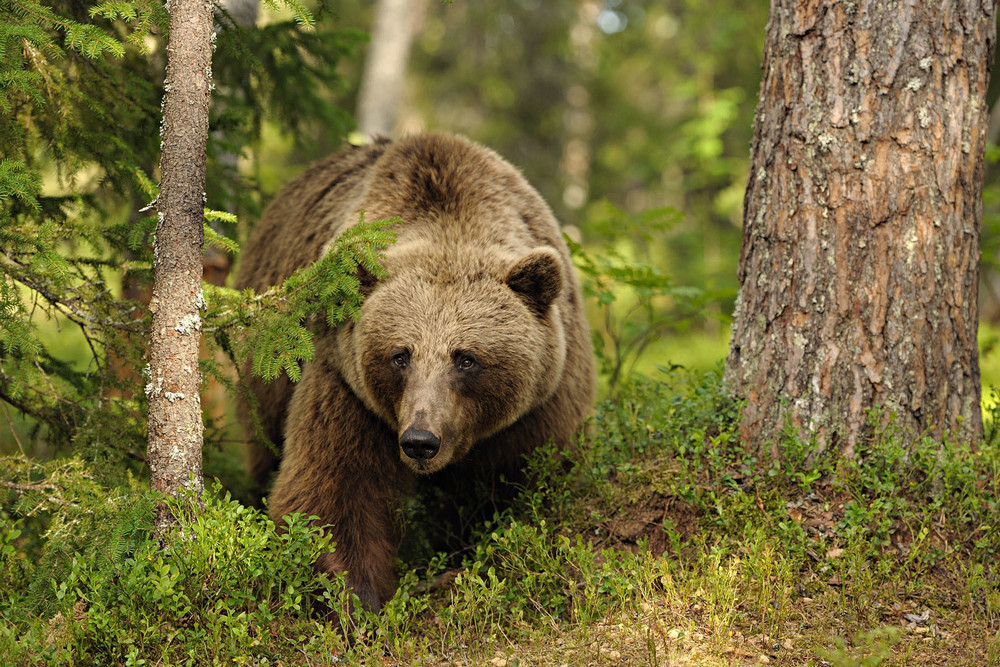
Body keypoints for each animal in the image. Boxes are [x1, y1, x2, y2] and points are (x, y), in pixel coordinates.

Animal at [234, 133, 592, 612]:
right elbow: (333, 487)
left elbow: (530, 483)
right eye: (400, 355)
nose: (420, 440)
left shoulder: (542, 402)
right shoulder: (347, 385)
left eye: (466, 358)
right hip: (267, 371)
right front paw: (361, 596)